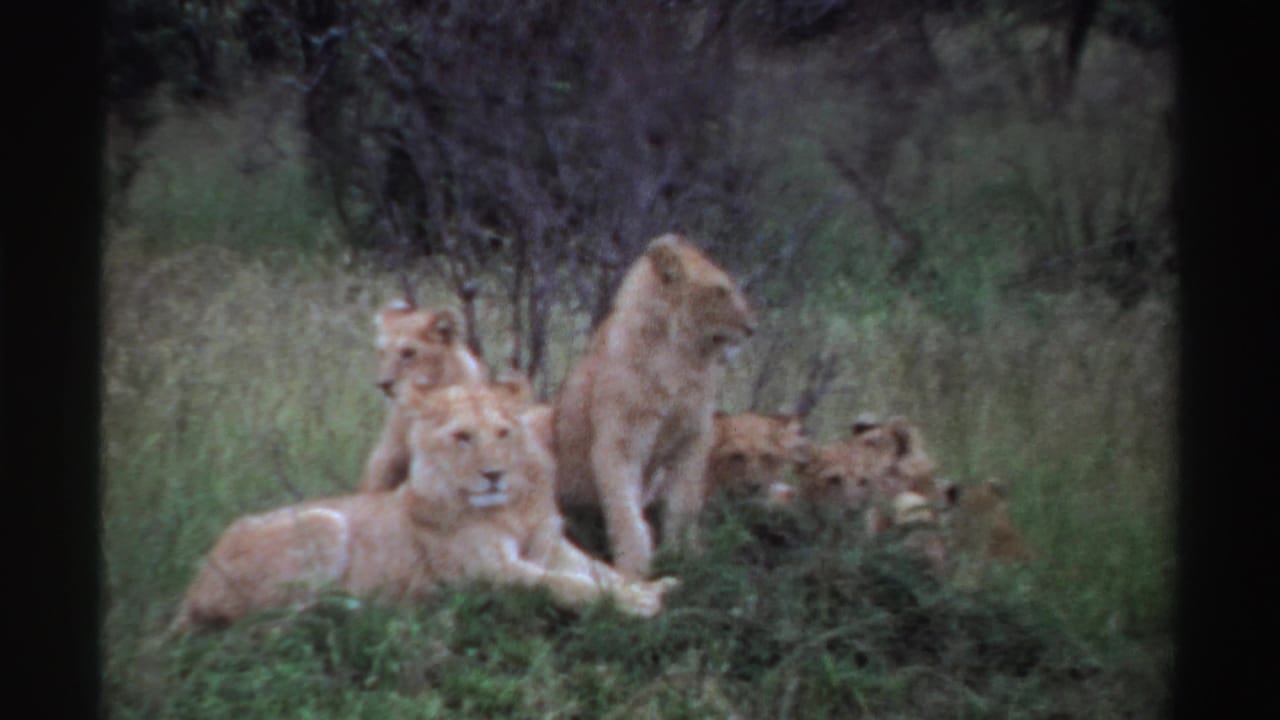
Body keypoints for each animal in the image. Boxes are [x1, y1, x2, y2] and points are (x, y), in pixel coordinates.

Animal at [172, 382, 677, 632]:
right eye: (462, 437)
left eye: (503, 433)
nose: (494, 474)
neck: (509, 507)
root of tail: (194, 586)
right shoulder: (484, 572)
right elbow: (564, 584)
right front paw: (638, 603)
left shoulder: (551, 545)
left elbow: (599, 570)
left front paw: (651, 586)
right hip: (323, 522)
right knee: (269, 621)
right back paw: (358, 607)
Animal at [554, 233, 756, 578]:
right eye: (720, 291)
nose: (751, 328)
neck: (683, 358)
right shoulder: (621, 440)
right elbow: (626, 509)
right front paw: (634, 568)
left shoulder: (694, 438)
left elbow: (684, 503)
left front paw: (687, 555)